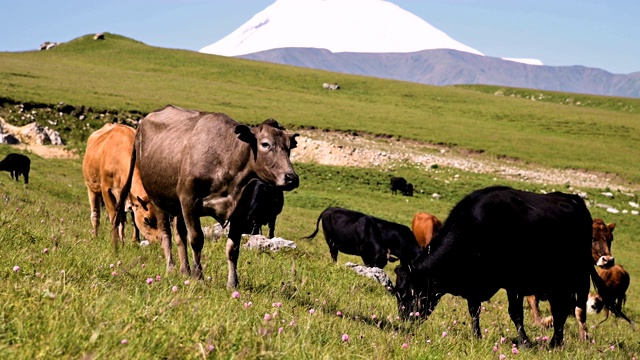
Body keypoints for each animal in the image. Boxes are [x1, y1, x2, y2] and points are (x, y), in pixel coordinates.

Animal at [112, 104, 298, 286]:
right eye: (265, 144)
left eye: (289, 147)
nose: (292, 178)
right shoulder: (189, 202)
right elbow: (196, 239)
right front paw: (199, 277)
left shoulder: (240, 211)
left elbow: (232, 248)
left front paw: (232, 282)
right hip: (158, 199)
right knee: (166, 234)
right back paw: (171, 268)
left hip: (177, 206)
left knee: (180, 235)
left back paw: (184, 270)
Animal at [392, 187, 632, 348]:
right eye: (397, 292)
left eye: (411, 291)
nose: (404, 320)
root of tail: (573, 200)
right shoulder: (475, 284)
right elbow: (474, 311)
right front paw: (477, 336)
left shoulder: (514, 282)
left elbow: (515, 313)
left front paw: (524, 342)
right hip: (555, 282)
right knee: (561, 308)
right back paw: (556, 341)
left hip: (577, 277)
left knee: (574, 309)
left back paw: (562, 341)